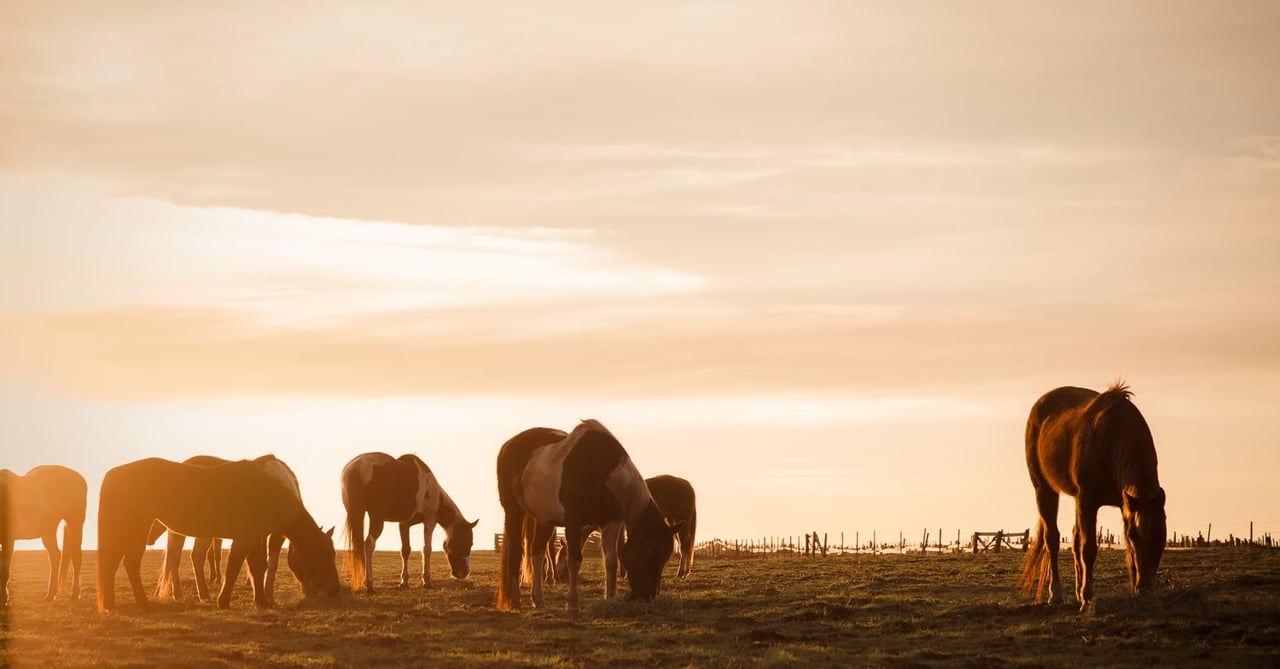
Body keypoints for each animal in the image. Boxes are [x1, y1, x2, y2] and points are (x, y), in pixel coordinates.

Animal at [0, 465, 86, 605]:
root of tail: (80, 478)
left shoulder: (9, 540)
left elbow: (4, 570)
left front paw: (4, 599)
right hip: (48, 532)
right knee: (55, 556)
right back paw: (50, 594)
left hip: (74, 523)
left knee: (76, 557)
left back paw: (74, 594)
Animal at [341, 452, 477, 593]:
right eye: (469, 543)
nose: (465, 572)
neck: (435, 494)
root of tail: (355, 468)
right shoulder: (429, 521)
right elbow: (426, 549)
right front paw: (427, 581)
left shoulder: (404, 524)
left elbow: (405, 550)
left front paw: (404, 582)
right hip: (376, 518)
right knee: (368, 545)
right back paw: (369, 584)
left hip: (358, 513)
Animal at [495, 420, 680, 612]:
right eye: (649, 551)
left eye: (665, 558)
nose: (647, 596)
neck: (601, 473)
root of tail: (507, 446)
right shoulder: (573, 524)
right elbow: (574, 561)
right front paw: (572, 604)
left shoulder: (611, 524)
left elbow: (611, 562)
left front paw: (610, 598)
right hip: (513, 511)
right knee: (516, 552)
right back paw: (516, 601)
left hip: (544, 520)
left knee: (536, 554)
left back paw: (538, 600)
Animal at [1019, 382, 1167, 611]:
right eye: (1135, 536)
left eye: (1161, 536)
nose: (1145, 588)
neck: (1111, 438)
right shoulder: (1088, 500)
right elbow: (1088, 548)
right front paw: (1087, 597)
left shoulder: (1125, 505)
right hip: (1044, 489)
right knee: (1052, 539)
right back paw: (1057, 594)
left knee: (1074, 537)